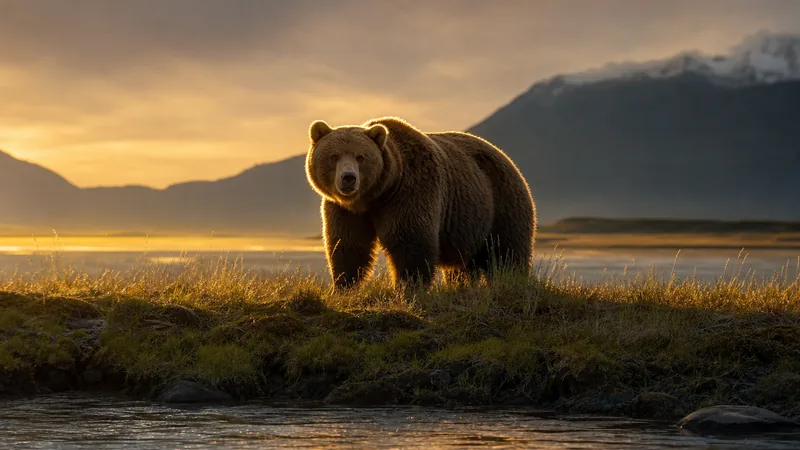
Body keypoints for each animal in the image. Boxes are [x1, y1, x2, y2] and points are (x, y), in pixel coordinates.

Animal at [304, 116, 536, 291]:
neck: (375, 195)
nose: (348, 178)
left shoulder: (410, 192)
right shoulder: (345, 210)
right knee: (462, 266)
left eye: (360, 157)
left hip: (502, 202)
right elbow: (347, 245)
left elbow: (411, 241)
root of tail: (507, 158)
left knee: (507, 252)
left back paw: (511, 282)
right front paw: (343, 286)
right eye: (334, 156)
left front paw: (408, 288)